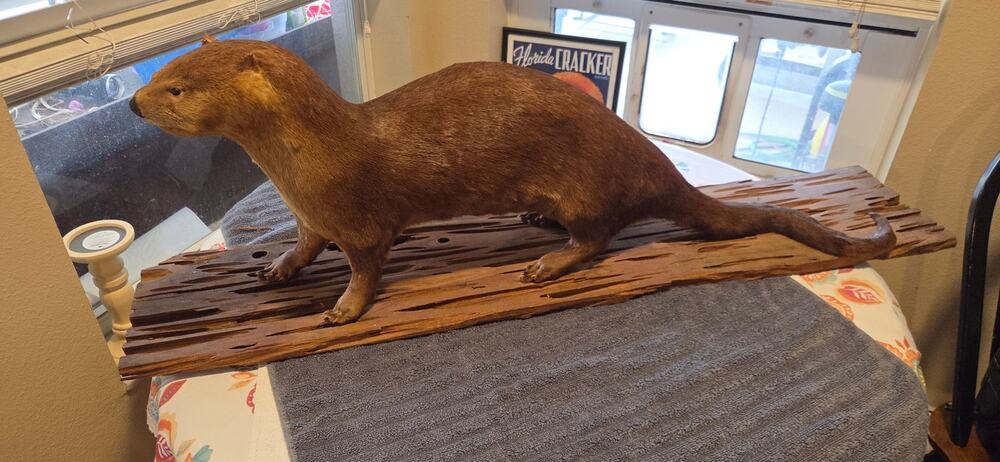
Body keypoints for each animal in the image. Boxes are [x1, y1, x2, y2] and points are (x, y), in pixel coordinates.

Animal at [130, 37, 895, 325]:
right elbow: (301, 247)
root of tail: (651, 160)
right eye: (161, 74)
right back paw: (534, 225)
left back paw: (546, 263)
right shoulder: (310, 216)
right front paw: (278, 271)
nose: (134, 104)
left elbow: (367, 267)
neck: (307, 160)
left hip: (591, 186)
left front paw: (343, 308)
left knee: (599, 238)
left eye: (178, 88)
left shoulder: (362, 223)